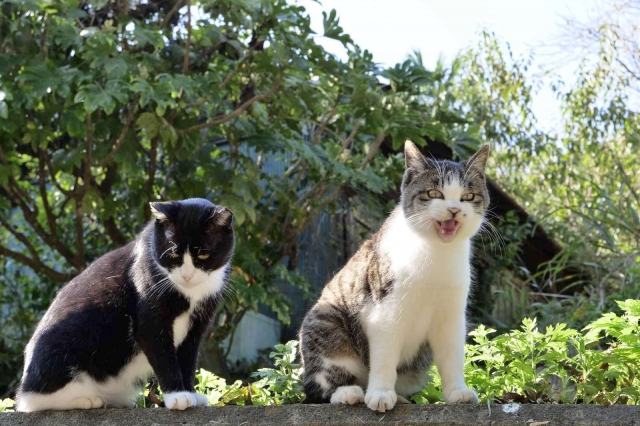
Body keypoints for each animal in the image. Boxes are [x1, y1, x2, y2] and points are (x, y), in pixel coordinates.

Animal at [16, 198, 234, 412]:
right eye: (173, 254)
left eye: (203, 255)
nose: (187, 276)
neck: (190, 293)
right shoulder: (149, 320)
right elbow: (164, 357)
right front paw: (177, 396)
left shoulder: (196, 327)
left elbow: (188, 361)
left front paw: (190, 393)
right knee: (35, 401)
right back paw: (88, 400)